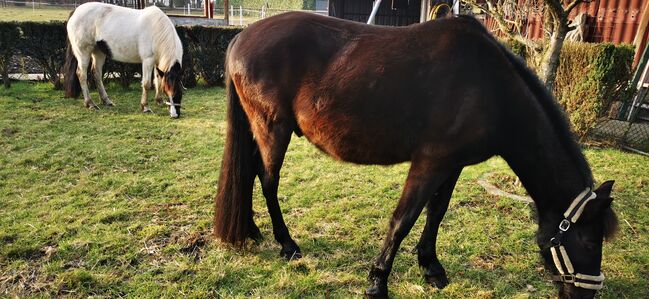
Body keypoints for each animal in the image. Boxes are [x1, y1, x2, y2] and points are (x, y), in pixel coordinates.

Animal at [214, 12, 616, 298]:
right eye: (589, 240)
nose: (587, 294)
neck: (490, 88)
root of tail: (240, 38)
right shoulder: (429, 162)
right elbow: (403, 219)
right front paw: (377, 282)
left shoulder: (452, 165)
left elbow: (436, 212)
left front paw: (431, 266)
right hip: (274, 129)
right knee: (268, 180)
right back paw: (287, 244)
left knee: (250, 173)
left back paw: (251, 230)